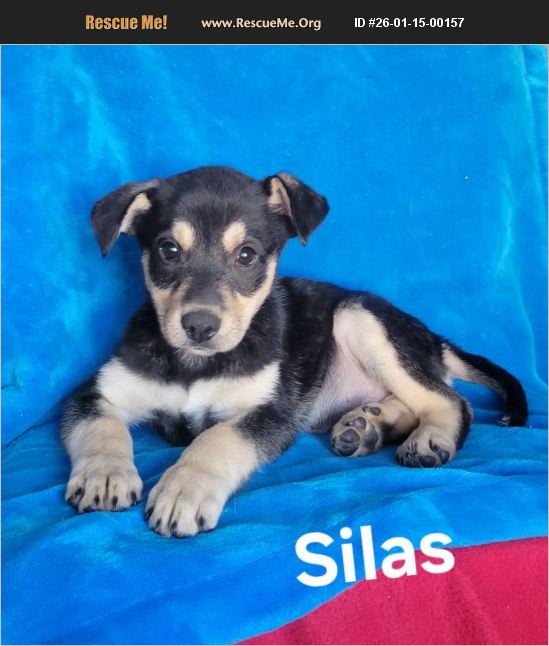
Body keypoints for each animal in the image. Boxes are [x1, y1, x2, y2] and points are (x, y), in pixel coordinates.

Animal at [61, 166, 527, 537]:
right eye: (168, 250)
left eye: (246, 255)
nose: (199, 326)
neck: (196, 364)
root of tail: (431, 336)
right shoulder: (92, 393)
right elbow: (103, 428)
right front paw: (105, 474)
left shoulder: (271, 412)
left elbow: (217, 438)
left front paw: (183, 489)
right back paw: (368, 425)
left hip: (360, 318)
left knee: (453, 401)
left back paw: (428, 437)